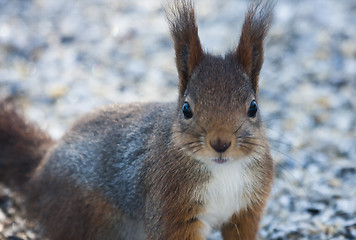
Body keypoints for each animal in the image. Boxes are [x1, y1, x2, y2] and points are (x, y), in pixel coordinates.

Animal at [0, 0, 274, 239]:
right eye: (186, 109)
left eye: (253, 107)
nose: (220, 143)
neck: (223, 170)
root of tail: (40, 169)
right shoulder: (167, 206)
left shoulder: (246, 211)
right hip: (79, 217)